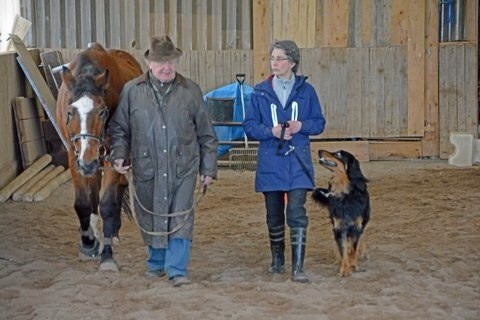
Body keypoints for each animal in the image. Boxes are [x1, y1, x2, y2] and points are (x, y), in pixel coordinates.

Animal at [56, 43, 142, 272]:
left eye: (102, 112)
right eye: (70, 112)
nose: (88, 162)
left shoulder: (114, 157)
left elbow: (108, 204)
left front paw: (107, 255)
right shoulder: (74, 157)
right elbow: (83, 203)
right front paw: (88, 243)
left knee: (119, 188)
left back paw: (112, 233)